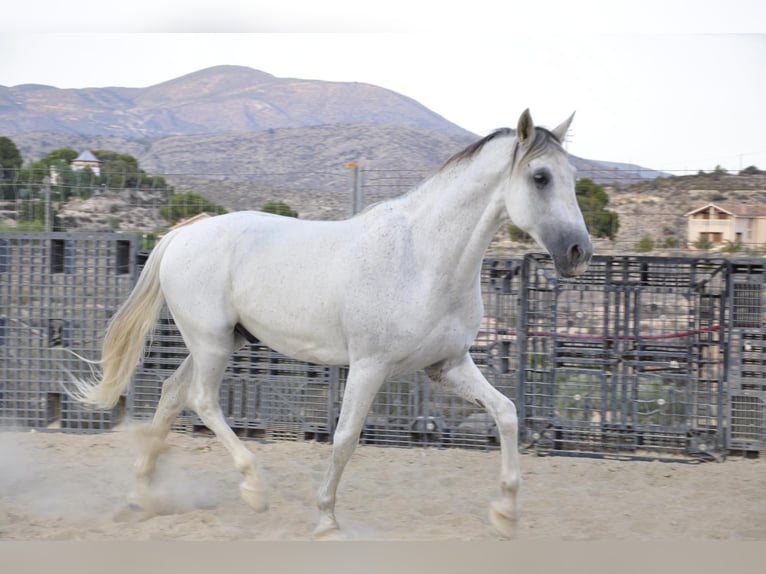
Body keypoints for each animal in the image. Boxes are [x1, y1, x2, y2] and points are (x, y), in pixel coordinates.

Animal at [69, 109, 592, 540]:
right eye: (541, 177)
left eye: (571, 177)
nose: (578, 252)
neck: (423, 259)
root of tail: (183, 233)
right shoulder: (370, 366)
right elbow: (345, 439)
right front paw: (325, 518)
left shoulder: (448, 365)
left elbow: (506, 413)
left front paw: (505, 514)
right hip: (212, 343)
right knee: (201, 400)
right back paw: (253, 488)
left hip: (218, 342)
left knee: (172, 393)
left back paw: (142, 496)